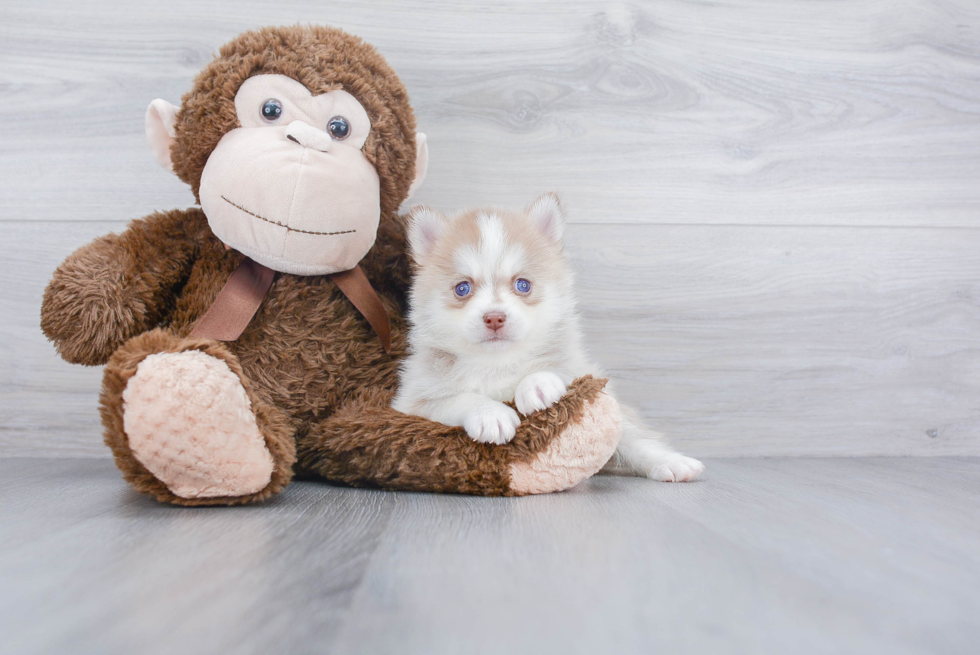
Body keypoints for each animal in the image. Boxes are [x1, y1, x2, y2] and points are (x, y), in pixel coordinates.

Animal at [390, 193, 704, 482]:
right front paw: (490, 413)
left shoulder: (579, 370)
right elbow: (458, 398)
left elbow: (553, 369)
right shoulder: (412, 404)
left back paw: (671, 463)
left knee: (635, 439)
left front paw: (537, 384)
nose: (494, 318)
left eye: (523, 285)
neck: (497, 363)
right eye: (462, 289)